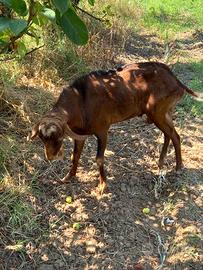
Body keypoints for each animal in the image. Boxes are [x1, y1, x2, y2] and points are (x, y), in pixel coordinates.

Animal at [27, 61, 202, 192]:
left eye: (59, 137)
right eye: (42, 138)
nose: (50, 157)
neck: (81, 100)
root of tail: (176, 80)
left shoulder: (102, 130)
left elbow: (99, 159)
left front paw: (103, 185)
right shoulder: (80, 133)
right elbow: (75, 156)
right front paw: (68, 177)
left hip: (158, 112)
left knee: (174, 135)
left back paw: (178, 167)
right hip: (164, 113)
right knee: (170, 134)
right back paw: (161, 162)